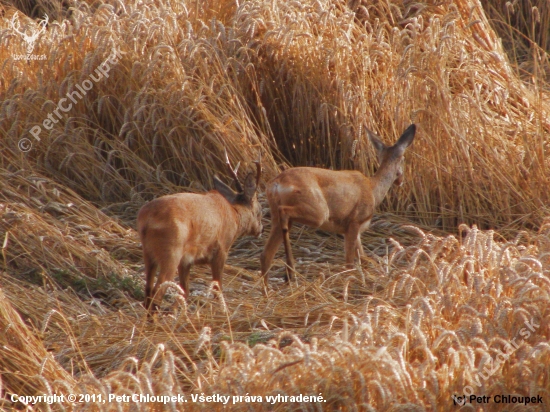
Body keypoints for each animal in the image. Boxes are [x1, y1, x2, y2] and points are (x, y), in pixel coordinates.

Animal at [140, 152, 266, 312]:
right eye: (259, 210)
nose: (261, 229)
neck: (235, 215)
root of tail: (148, 219)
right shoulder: (221, 250)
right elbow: (217, 289)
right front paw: (224, 311)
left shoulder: (186, 260)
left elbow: (185, 290)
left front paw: (176, 311)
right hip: (171, 251)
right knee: (158, 290)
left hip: (148, 253)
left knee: (148, 290)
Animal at [260, 124, 416, 288]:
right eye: (403, 159)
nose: (400, 180)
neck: (373, 189)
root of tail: (276, 183)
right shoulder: (354, 222)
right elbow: (349, 263)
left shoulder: (355, 231)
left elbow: (363, 259)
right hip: (319, 211)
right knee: (284, 213)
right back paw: (290, 272)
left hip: (277, 214)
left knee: (265, 255)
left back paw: (270, 288)